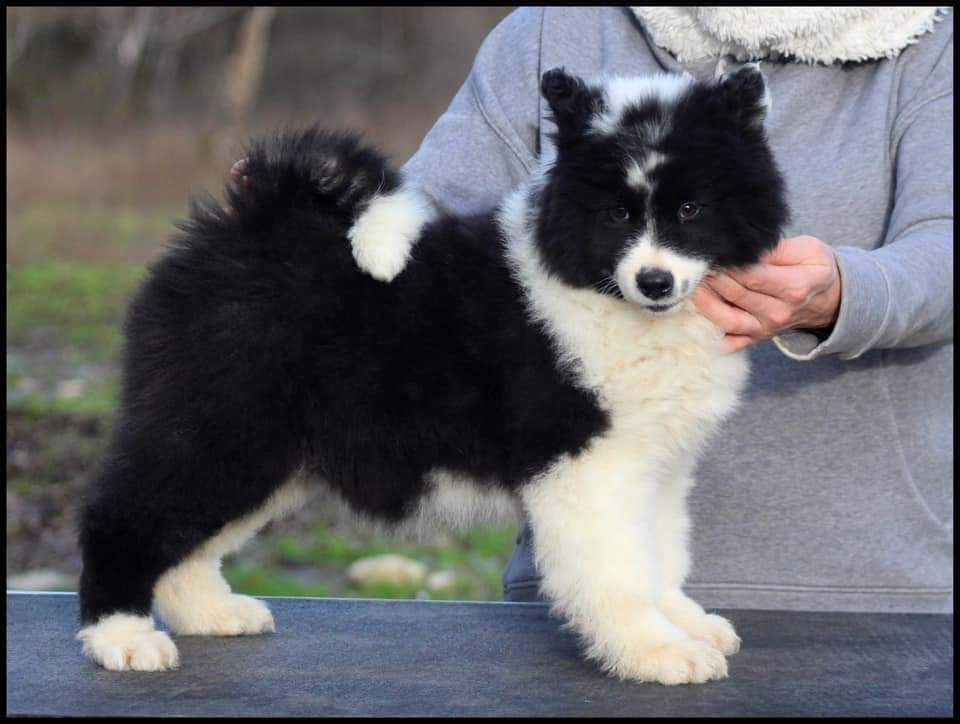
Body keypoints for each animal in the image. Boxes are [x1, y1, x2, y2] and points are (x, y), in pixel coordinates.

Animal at [79, 62, 788, 684]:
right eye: (617, 215)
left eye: (691, 210)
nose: (655, 281)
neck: (607, 297)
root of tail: (248, 223)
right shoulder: (591, 465)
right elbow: (620, 570)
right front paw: (656, 653)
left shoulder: (658, 464)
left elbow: (660, 556)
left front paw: (684, 625)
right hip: (222, 421)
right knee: (129, 515)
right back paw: (123, 637)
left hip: (268, 450)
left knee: (187, 538)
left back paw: (208, 611)